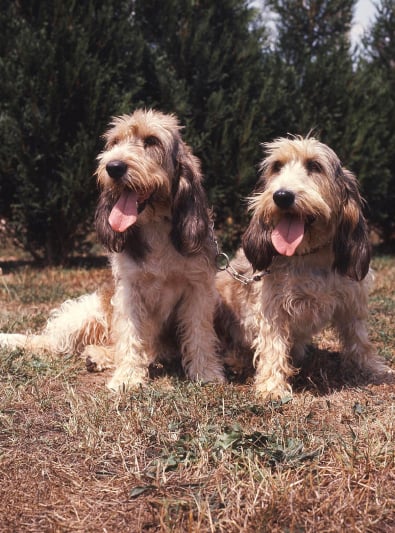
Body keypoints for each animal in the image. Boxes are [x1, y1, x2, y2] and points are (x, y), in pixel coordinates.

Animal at [0, 109, 226, 390]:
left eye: (151, 141)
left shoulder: (198, 289)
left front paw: (206, 372)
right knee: (51, 341)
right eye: (114, 142)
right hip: (84, 314)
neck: (155, 226)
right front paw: (128, 377)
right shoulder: (129, 290)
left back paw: (97, 356)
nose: (113, 167)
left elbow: (199, 332)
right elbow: (129, 333)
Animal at [215, 135, 392, 396]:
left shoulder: (352, 302)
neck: (308, 256)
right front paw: (272, 387)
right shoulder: (272, 307)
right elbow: (273, 344)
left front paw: (373, 368)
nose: (281, 196)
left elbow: (359, 338)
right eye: (276, 166)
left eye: (315, 166)